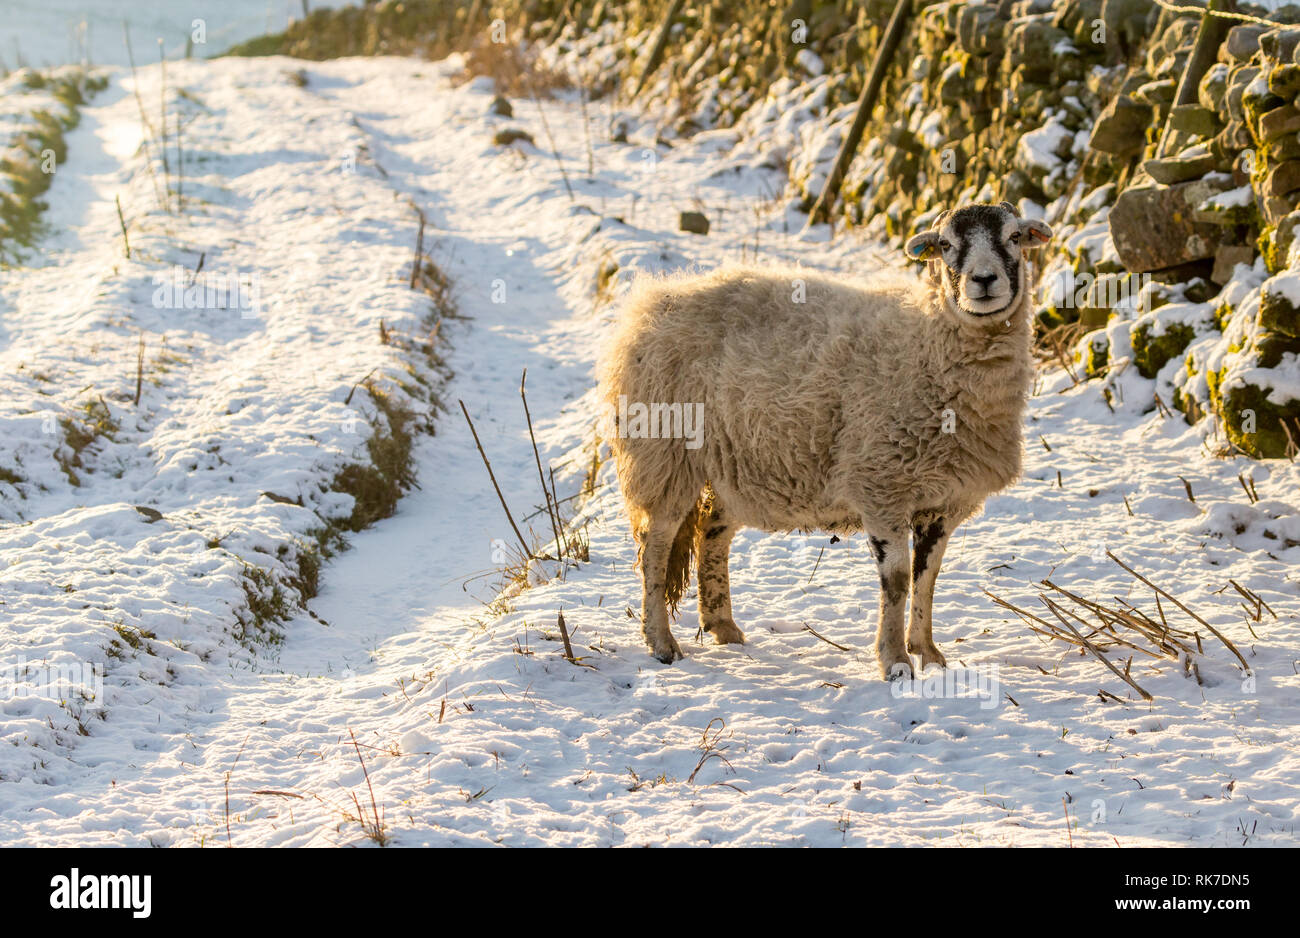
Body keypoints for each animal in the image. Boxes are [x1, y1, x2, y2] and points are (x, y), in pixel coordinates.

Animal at [595, 201, 1050, 675]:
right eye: (945, 244)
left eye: (1015, 237)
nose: (984, 280)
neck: (929, 344)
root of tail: (652, 302)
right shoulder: (881, 485)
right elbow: (897, 580)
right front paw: (894, 660)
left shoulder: (943, 501)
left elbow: (927, 578)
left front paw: (927, 653)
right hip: (664, 453)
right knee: (656, 547)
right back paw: (661, 642)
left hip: (735, 463)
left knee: (711, 533)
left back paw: (723, 626)